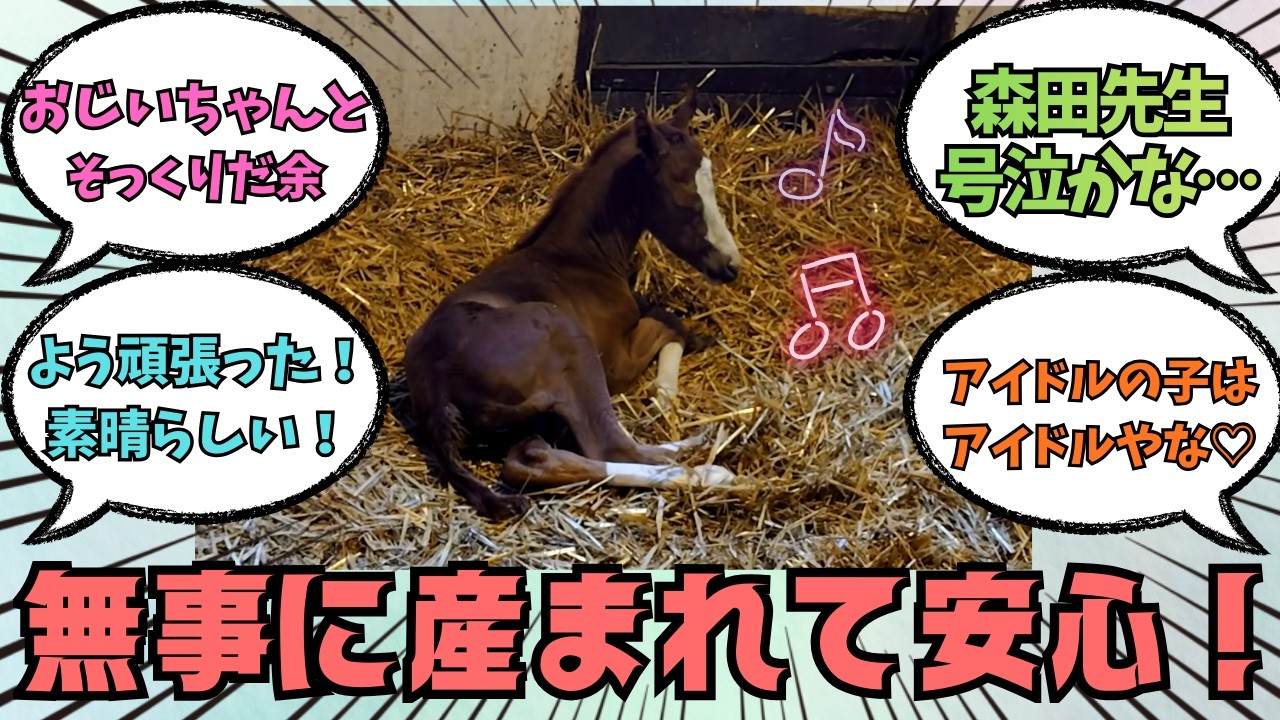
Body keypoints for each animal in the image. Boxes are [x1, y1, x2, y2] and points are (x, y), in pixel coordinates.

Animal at [402, 89, 741, 519]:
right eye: (687, 203)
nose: (730, 266)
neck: (579, 258)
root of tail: (436, 388)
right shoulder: (615, 361)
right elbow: (669, 324)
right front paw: (665, 396)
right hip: (567, 338)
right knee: (611, 446)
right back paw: (708, 467)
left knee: (535, 458)